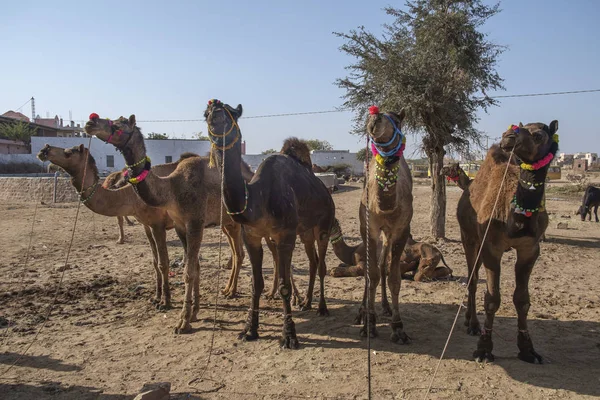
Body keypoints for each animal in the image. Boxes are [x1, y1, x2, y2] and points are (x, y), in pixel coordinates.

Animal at [205, 99, 338, 346]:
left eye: (231, 113)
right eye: (205, 113)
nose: (215, 113)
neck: (257, 199)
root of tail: (326, 190)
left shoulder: (285, 235)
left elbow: (285, 284)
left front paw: (289, 336)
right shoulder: (252, 236)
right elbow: (256, 284)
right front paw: (249, 330)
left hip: (324, 224)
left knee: (322, 264)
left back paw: (322, 307)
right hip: (305, 232)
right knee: (313, 261)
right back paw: (306, 302)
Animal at [460, 120, 556, 364]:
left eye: (539, 135)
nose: (508, 136)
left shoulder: (530, 249)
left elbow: (522, 300)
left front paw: (528, 350)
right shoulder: (491, 247)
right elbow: (492, 298)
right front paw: (483, 350)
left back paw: (468, 320)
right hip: (469, 237)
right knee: (472, 279)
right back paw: (472, 324)